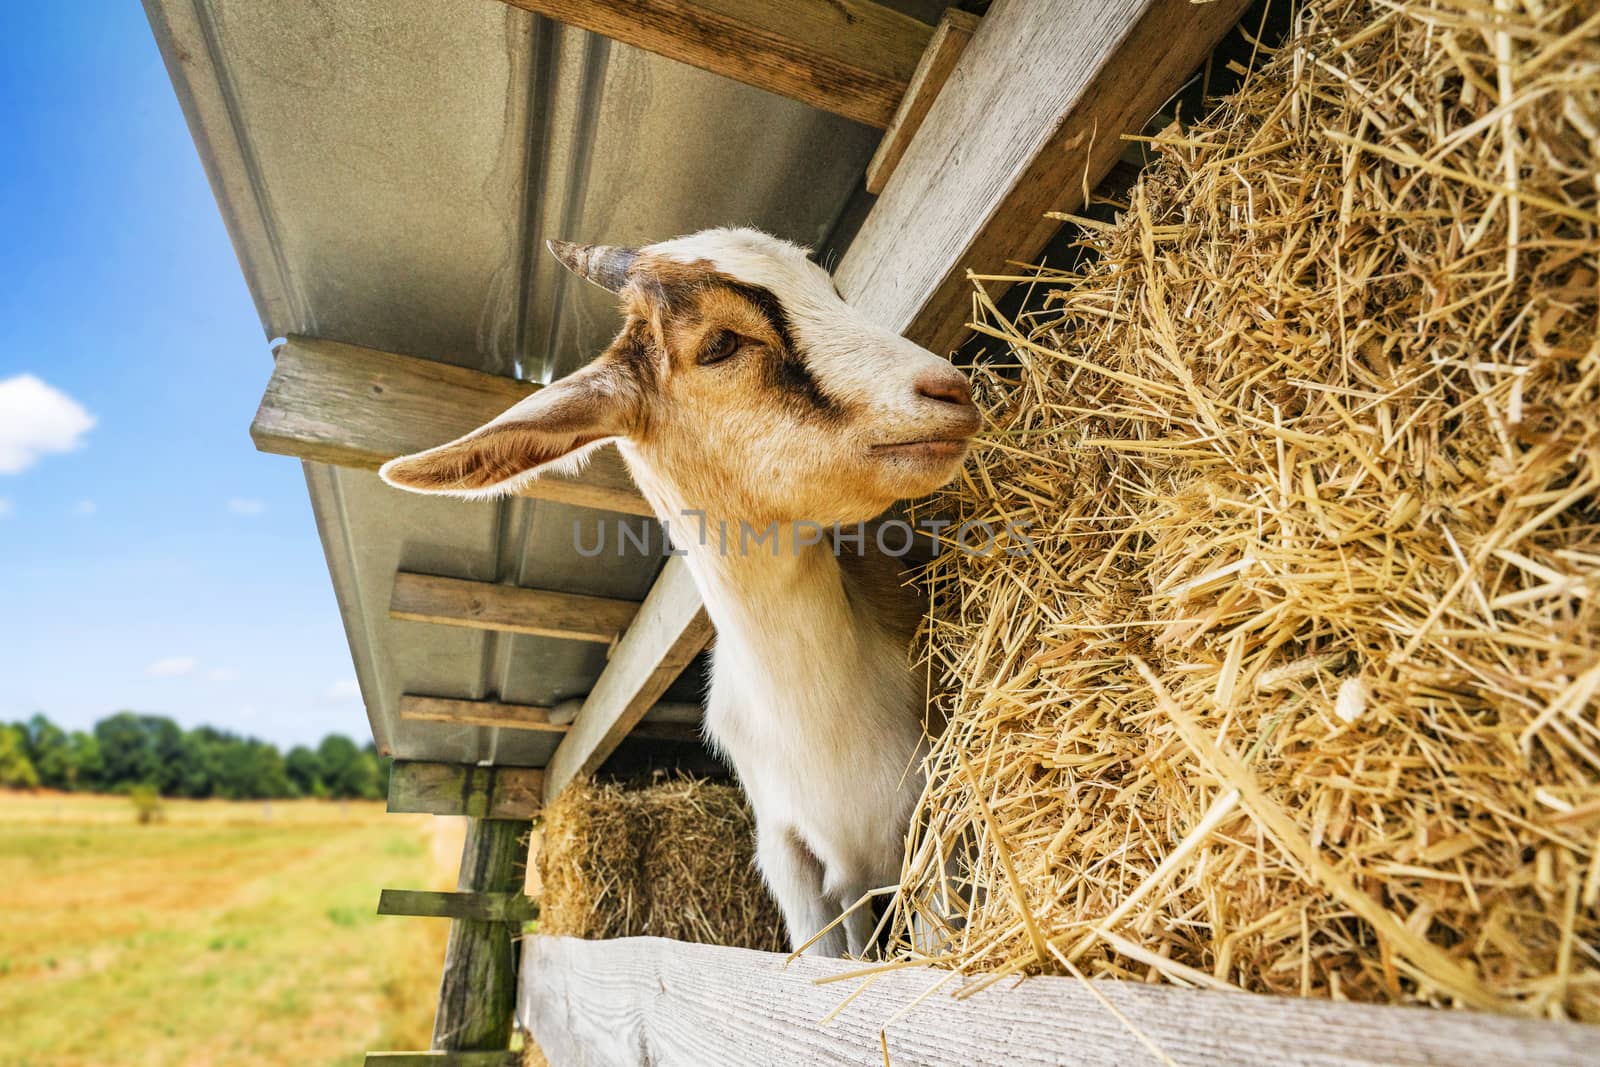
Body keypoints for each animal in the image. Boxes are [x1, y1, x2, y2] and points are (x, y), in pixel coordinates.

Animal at [380, 227, 972, 959]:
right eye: (719, 344)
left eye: (830, 291)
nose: (949, 389)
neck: (826, 724)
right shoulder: (796, 867)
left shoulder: (932, 829)